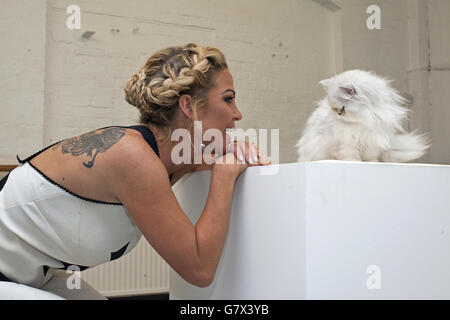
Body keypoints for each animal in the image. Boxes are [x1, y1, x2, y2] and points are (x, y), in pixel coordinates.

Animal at [298, 70, 430, 164]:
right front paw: (354, 162)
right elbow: (350, 155)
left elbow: (370, 157)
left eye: (342, 110)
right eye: (334, 109)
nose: (337, 115)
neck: (364, 121)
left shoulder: (372, 141)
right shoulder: (346, 142)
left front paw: (371, 162)